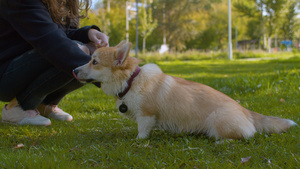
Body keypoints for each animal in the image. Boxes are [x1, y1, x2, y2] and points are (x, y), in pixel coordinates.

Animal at [73, 40, 298, 139]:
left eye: (94, 62)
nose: (74, 70)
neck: (131, 81)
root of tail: (247, 112)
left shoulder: (147, 115)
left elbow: (142, 132)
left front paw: (138, 141)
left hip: (217, 121)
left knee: (244, 135)